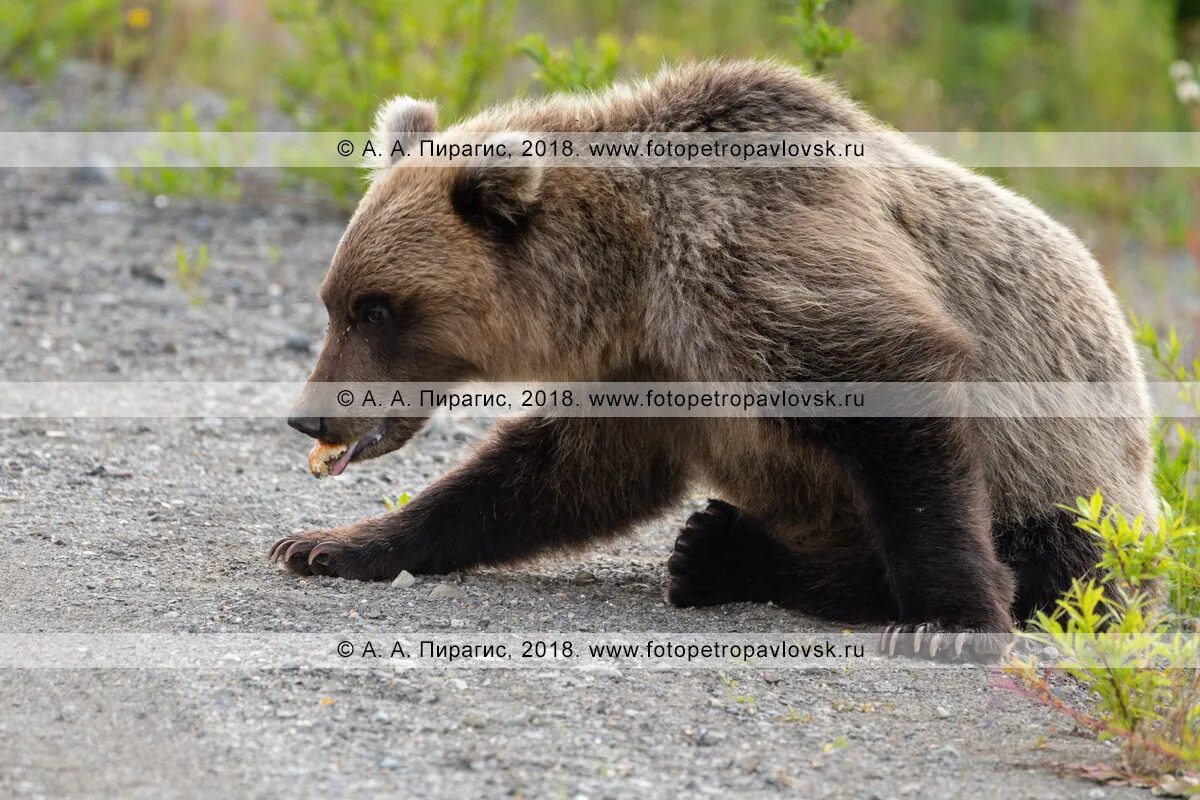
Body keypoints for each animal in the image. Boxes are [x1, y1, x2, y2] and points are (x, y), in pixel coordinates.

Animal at [272, 61, 1152, 662]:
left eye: (376, 307)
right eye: (334, 298)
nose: (310, 415)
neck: (628, 277)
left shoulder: (754, 269)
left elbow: (896, 401)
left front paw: (954, 617)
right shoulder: (647, 368)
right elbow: (550, 473)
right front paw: (332, 544)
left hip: (1081, 483)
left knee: (1060, 562)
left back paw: (725, 552)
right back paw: (715, 548)